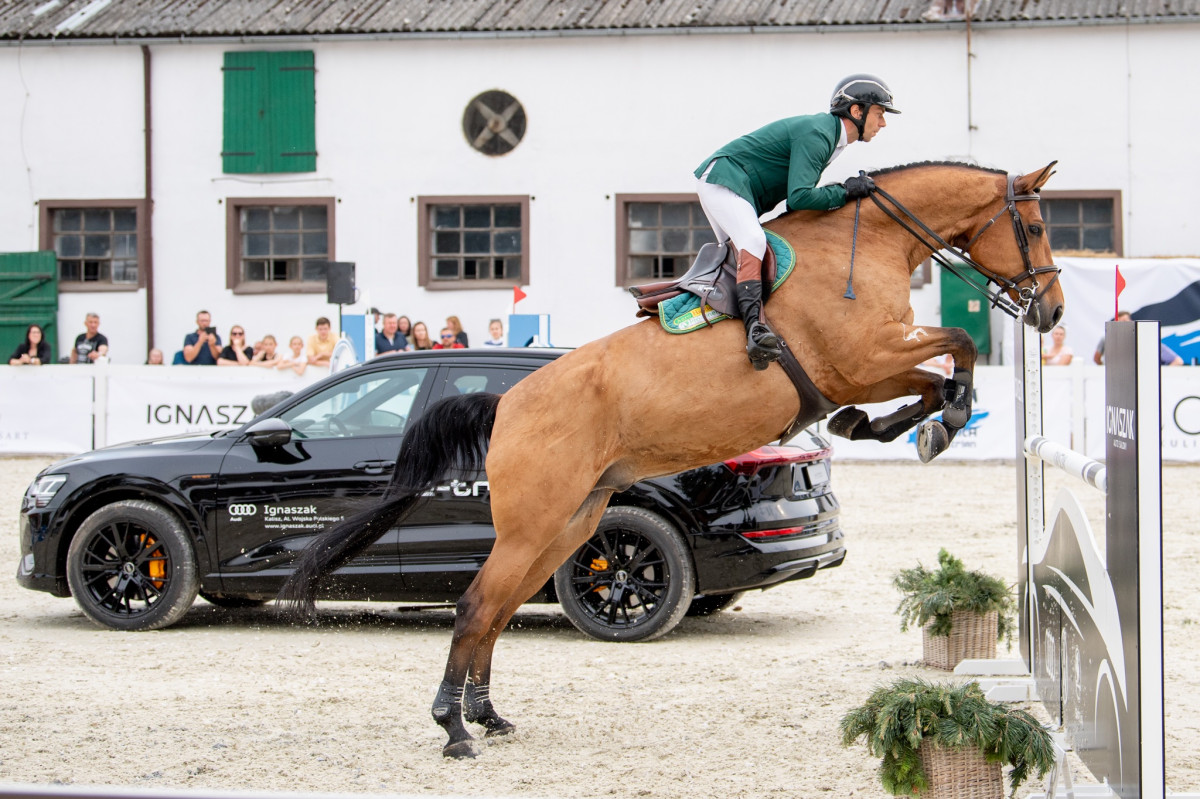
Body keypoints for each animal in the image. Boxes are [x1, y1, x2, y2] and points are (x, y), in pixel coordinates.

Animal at [283, 160, 1070, 753]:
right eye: (1034, 227)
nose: (1054, 311)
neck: (865, 242)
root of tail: (504, 406)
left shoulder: (870, 367)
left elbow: (937, 371)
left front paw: (909, 425)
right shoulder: (863, 360)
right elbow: (955, 347)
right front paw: (939, 420)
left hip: (571, 523)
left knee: (499, 607)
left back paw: (487, 715)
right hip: (536, 525)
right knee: (477, 603)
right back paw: (453, 729)